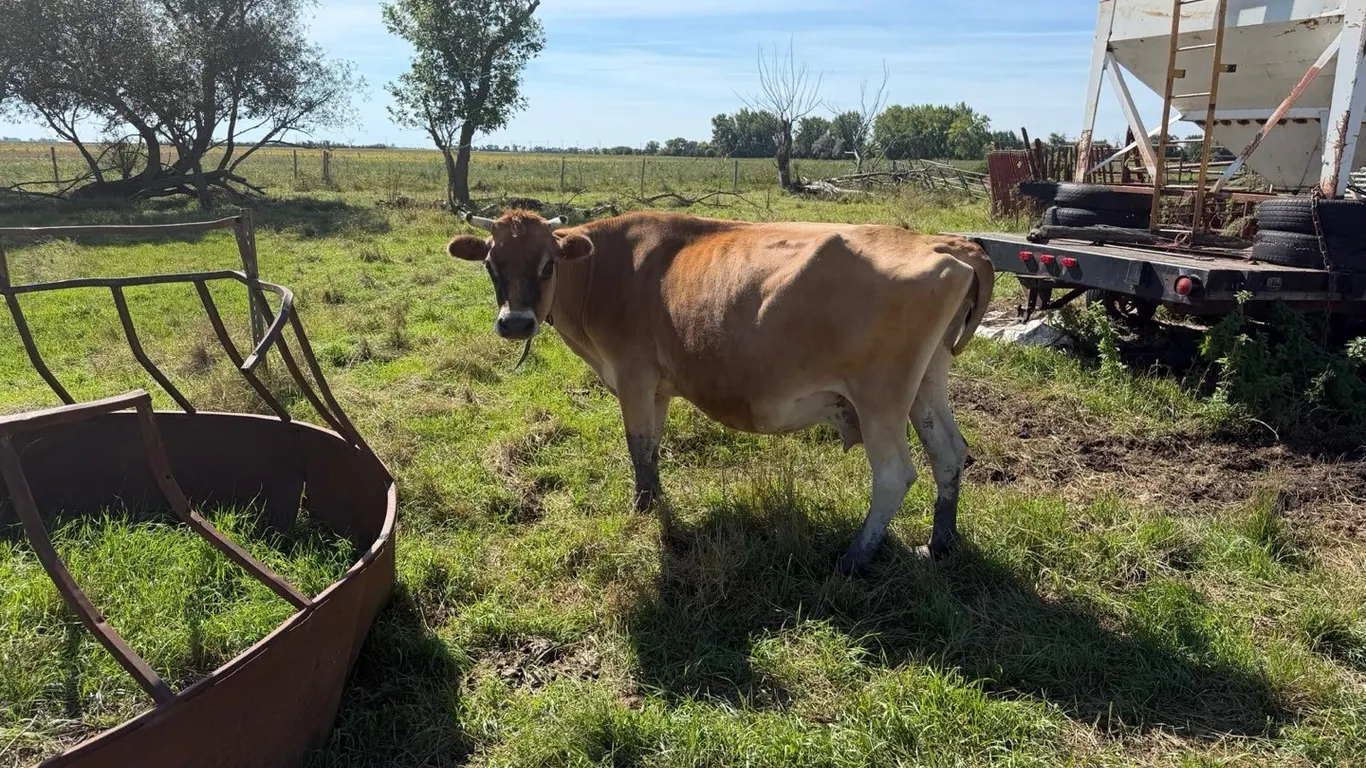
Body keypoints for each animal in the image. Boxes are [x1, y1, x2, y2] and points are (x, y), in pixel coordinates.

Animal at [446, 209, 994, 574]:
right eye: (492, 264)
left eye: (548, 264)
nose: (515, 323)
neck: (604, 271)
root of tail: (945, 244)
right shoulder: (658, 386)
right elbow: (652, 447)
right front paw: (653, 500)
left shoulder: (632, 375)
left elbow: (636, 445)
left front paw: (641, 510)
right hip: (927, 382)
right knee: (949, 452)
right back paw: (939, 543)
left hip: (880, 396)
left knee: (895, 474)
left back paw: (855, 556)